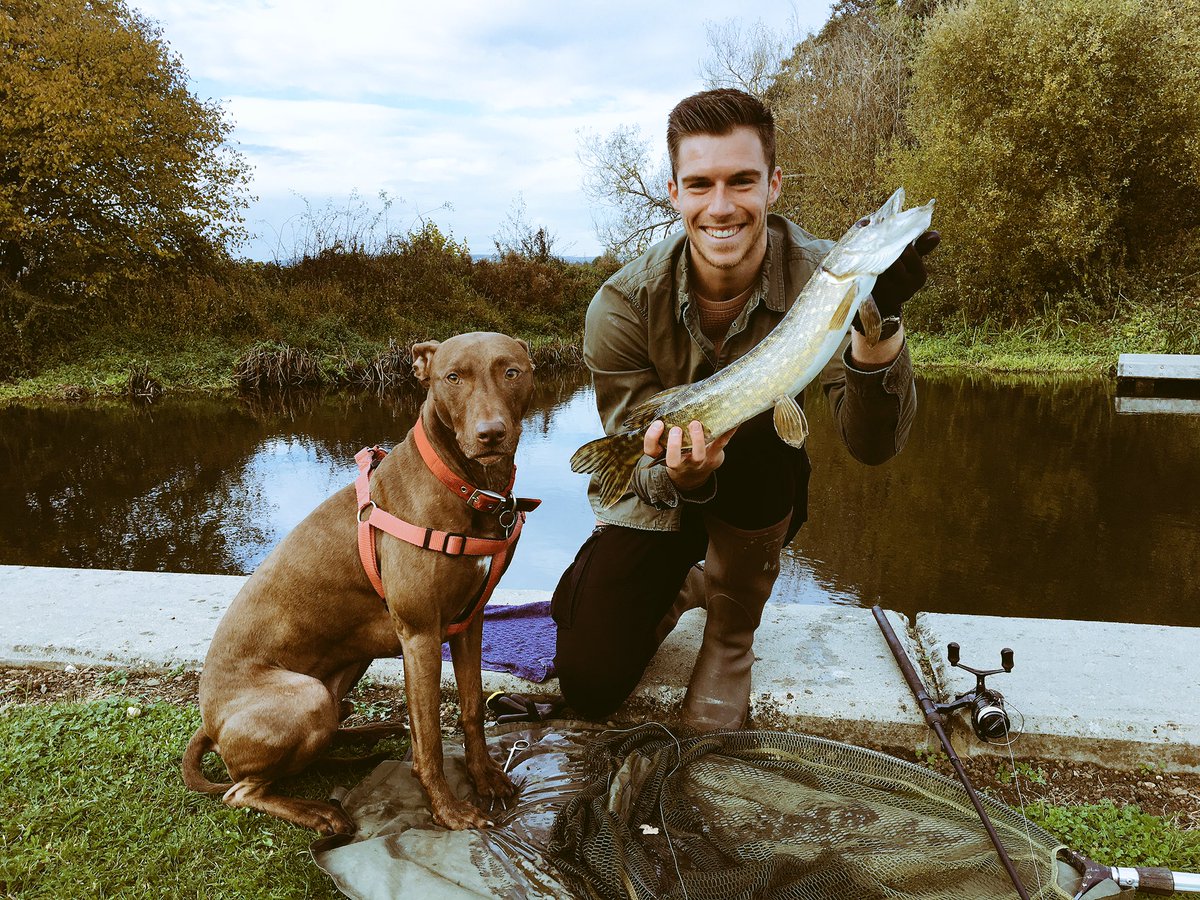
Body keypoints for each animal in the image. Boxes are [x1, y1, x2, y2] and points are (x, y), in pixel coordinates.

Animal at [181, 336, 535, 835]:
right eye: (453, 377)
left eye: (511, 371)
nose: (491, 434)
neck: (464, 485)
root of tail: (209, 724)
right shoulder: (421, 634)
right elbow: (429, 739)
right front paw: (448, 811)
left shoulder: (469, 623)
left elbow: (471, 710)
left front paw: (484, 778)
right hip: (306, 698)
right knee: (242, 791)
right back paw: (320, 811)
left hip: (346, 673)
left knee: (325, 739)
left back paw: (369, 736)